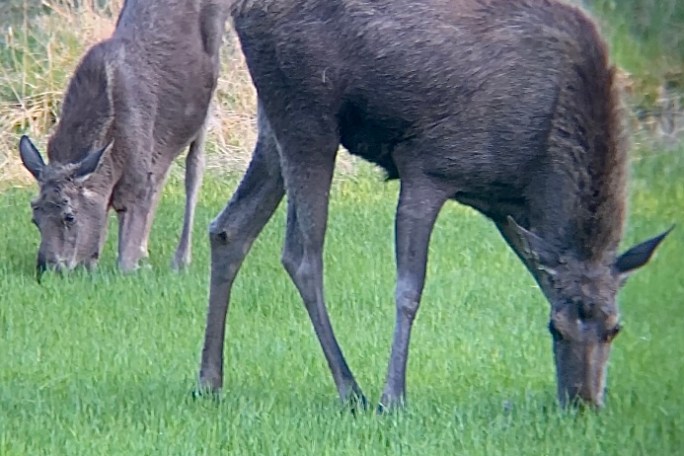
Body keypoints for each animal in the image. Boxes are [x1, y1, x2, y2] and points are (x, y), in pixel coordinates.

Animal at [19, 0, 228, 275]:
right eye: (35, 216)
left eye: (69, 216)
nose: (48, 266)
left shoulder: (136, 182)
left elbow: (124, 263)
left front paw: (135, 264)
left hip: (211, 87)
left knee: (194, 168)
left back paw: (181, 259)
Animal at [197, 0, 672, 411]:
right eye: (555, 328)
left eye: (615, 329)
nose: (583, 403)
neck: (538, 167)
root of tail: (241, 10)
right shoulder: (428, 165)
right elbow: (409, 290)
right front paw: (393, 396)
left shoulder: (508, 208)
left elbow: (543, 279)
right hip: (308, 114)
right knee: (301, 254)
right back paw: (351, 389)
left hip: (272, 120)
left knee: (229, 228)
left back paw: (209, 379)